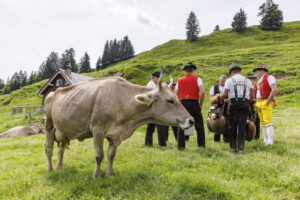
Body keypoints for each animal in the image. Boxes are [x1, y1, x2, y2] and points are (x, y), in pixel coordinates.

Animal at [45, 67, 193, 178]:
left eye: (176, 97)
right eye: (170, 100)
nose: (191, 120)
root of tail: (54, 92)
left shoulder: (115, 134)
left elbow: (111, 155)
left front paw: (110, 173)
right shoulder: (97, 129)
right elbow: (99, 155)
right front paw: (97, 176)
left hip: (64, 131)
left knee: (61, 149)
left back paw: (59, 166)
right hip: (49, 126)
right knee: (49, 149)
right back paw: (50, 169)